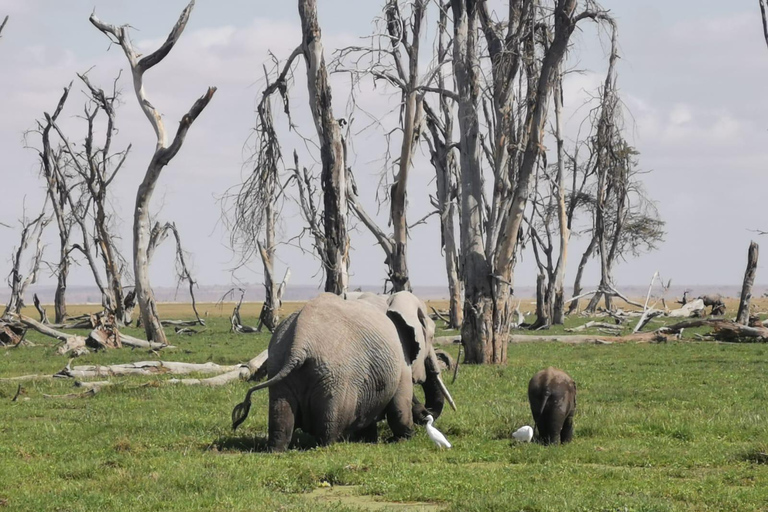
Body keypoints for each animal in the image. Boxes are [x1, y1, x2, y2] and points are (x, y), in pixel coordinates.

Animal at [230, 292, 456, 452]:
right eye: (431, 336)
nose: (426, 413)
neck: (390, 299)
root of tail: (299, 341)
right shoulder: (401, 359)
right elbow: (401, 403)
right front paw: (403, 439)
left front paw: (368, 439)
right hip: (336, 376)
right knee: (329, 425)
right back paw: (327, 445)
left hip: (279, 362)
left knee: (280, 414)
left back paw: (276, 449)